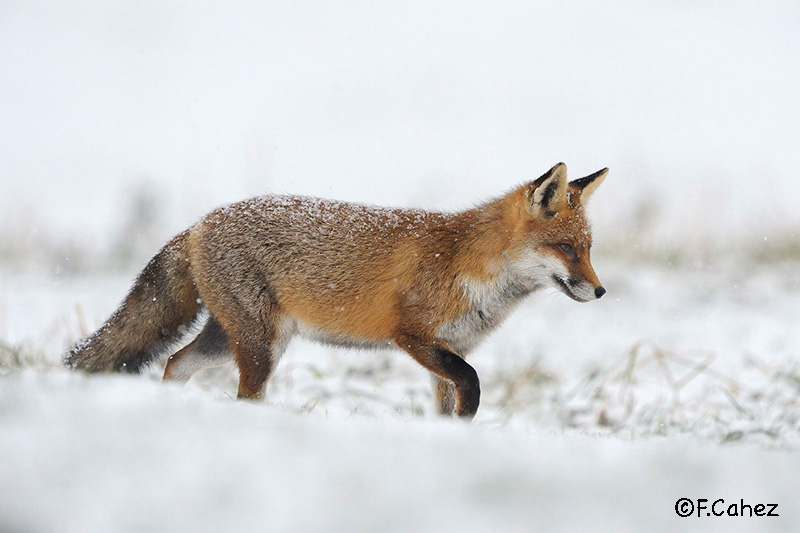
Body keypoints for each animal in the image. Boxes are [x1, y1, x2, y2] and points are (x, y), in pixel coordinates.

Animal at [65, 162, 607, 419]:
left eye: (588, 248)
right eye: (566, 248)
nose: (601, 292)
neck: (469, 266)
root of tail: (199, 224)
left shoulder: (449, 351)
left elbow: (450, 403)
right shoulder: (414, 336)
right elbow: (471, 383)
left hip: (231, 339)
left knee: (175, 363)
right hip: (262, 345)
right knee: (242, 393)